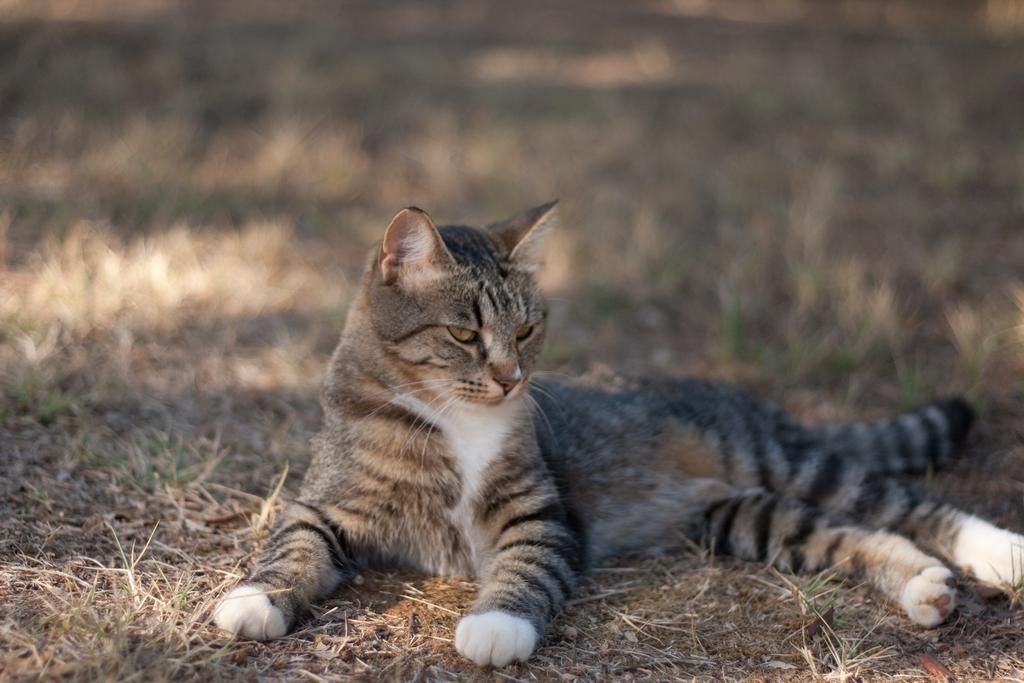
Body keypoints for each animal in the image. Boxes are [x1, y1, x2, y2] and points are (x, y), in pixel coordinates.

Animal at [211, 201, 1019, 667]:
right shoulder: (325, 503)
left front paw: (495, 625)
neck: (455, 417)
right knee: (857, 535)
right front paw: (256, 600)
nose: (511, 378)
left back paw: (1000, 553)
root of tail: (740, 399)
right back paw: (924, 587)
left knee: (908, 506)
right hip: (741, 517)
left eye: (526, 330)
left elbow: (525, 566)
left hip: (782, 461)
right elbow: (293, 545)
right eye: (466, 334)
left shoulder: (543, 513)